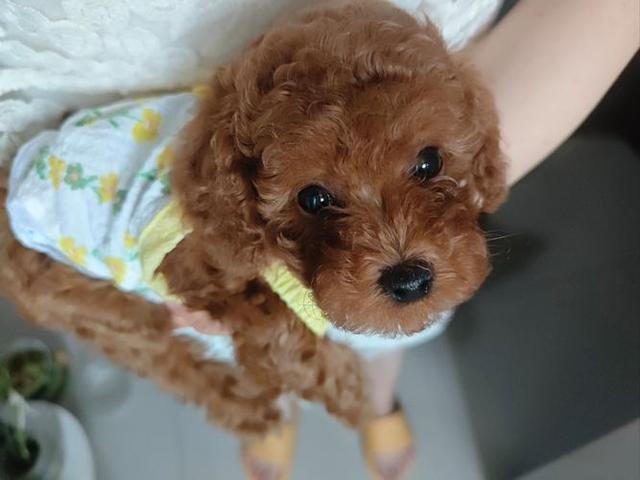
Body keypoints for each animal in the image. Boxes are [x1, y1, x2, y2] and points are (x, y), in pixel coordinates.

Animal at [0, 0, 506, 437]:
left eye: (430, 161)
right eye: (313, 198)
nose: (408, 281)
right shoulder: (191, 265)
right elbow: (277, 328)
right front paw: (350, 396)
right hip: (100, 307)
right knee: (174, 365)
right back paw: (253, 412)